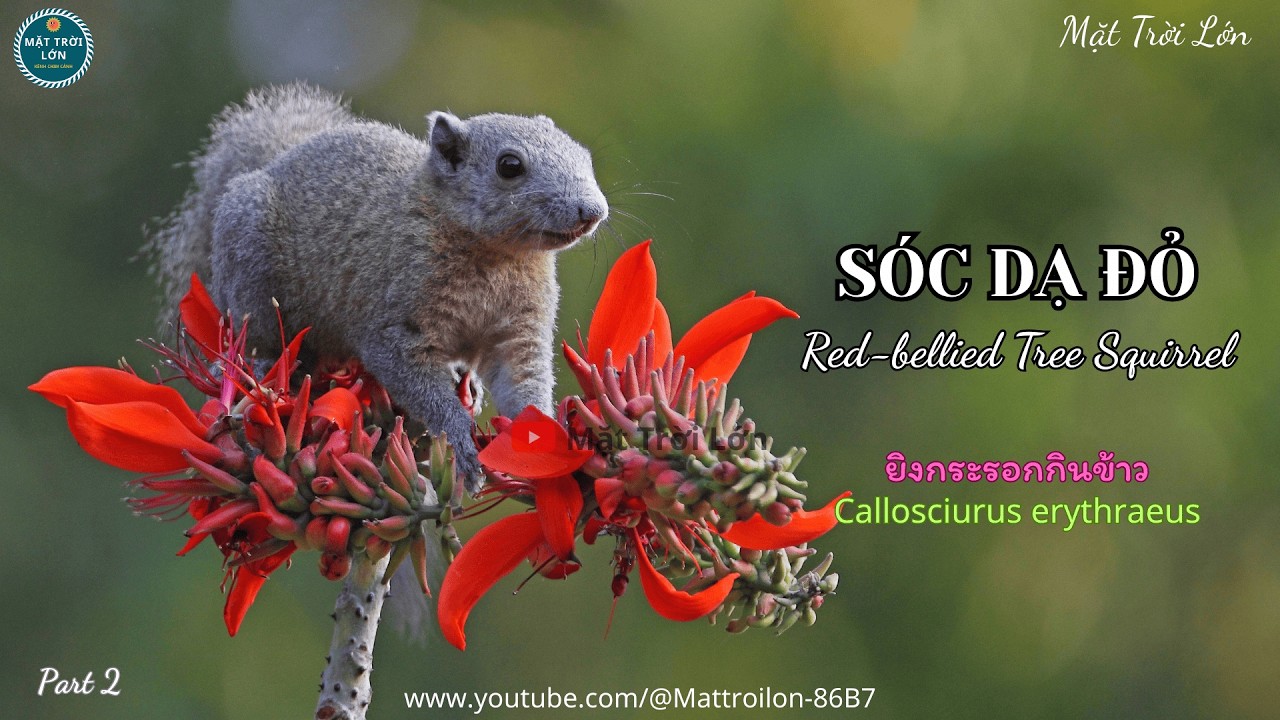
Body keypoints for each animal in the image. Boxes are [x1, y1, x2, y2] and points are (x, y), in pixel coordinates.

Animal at [149, 83, 608, 490]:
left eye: (583, 154)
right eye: (509, 166)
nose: (593, 210)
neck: (499, 256)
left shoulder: (518, 332)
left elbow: (523, 383)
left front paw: (544, 441)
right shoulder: (395, 325)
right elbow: (418, 383)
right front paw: (460, 441)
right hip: (250, 274)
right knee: (256, 332)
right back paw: (262, 367)